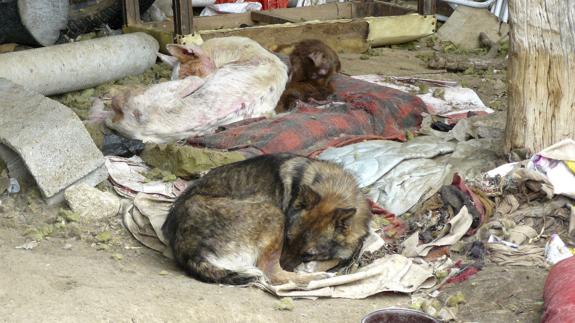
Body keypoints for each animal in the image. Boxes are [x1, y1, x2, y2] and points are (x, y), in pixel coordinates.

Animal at [161, 154, 374, 286]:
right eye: (287, 239)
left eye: (307, 254)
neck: (336, 190)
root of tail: (188, 249)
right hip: (274, 214)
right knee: (272, 273)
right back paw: (317, 277)